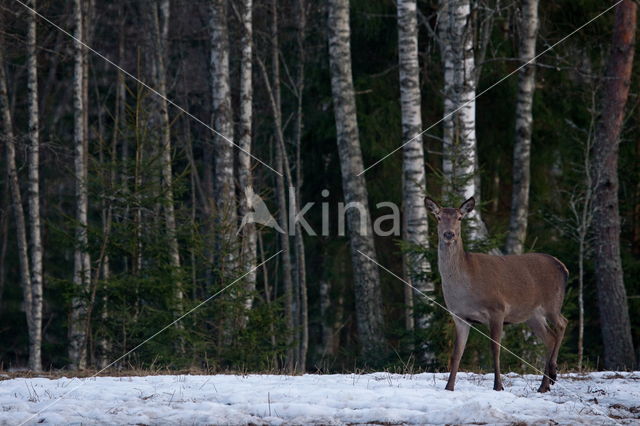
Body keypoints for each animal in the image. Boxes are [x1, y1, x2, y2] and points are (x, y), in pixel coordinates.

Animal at [424, 196, 568, 392]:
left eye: (460, 218)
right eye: (438, 217)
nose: (449, 234)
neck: (465, 288)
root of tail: (562, 266)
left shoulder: (498, 309)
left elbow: (495, 350)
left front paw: (498, 386)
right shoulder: (460, 316)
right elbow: (457, 353)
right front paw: (449, 387)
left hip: (552, 303)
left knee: (562, 324)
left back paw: (553, 373)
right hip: (532, 315)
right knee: (550, 338)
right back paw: (544, 385)